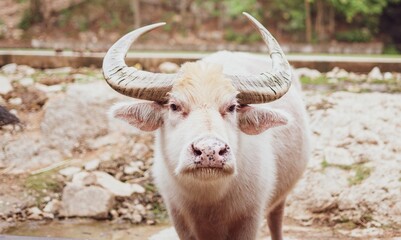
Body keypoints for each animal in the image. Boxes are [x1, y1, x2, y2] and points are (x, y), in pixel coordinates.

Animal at [103, 12, 310, 240]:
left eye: (232, 107)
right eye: (174, 106)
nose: (209, 151)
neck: (209, 200)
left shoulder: (250, 217)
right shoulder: (179, 218)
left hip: (281, 198)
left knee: (276, 221)